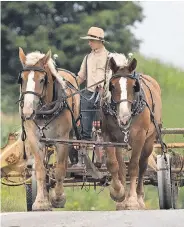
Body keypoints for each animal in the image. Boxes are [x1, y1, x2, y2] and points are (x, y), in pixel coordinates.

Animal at [18, 48, 80, 211]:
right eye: (22, 79)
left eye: (41, 80)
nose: (27, 112)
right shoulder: (35, 139)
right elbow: (40, 169)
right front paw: (41, 202)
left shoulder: (62, 139)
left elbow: (59, 169)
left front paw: (58, 198)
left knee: (62, 165)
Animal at [101, 54, 162, 210]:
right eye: (112, 86)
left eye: (134, 86)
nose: (124, 117)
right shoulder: (109, 136)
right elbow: (114, 165)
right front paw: (119, 194)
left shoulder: (139, 137)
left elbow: (134, 166)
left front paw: (133, 200)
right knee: (122, 166)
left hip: (149, 140)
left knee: (142, 166)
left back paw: (139, 198)